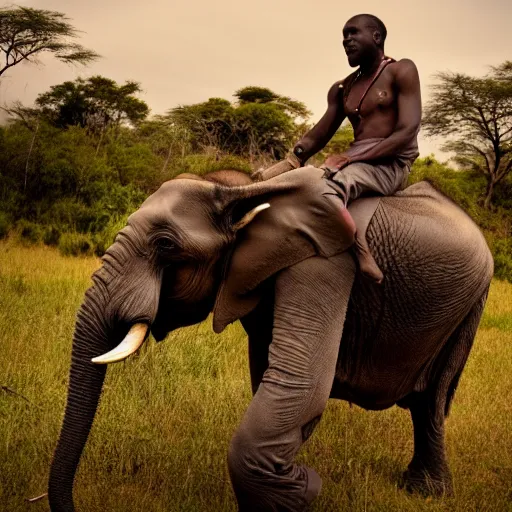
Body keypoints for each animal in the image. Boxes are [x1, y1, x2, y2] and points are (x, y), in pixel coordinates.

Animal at [48, 166, 492, 510]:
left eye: (165, 245)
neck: (244, 191)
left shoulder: (326, 263)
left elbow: (300, 384)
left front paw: (300, 490)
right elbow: (274, 383)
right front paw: (294, 482)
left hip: (471, 305)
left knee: (432, 400)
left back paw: (426, 493)